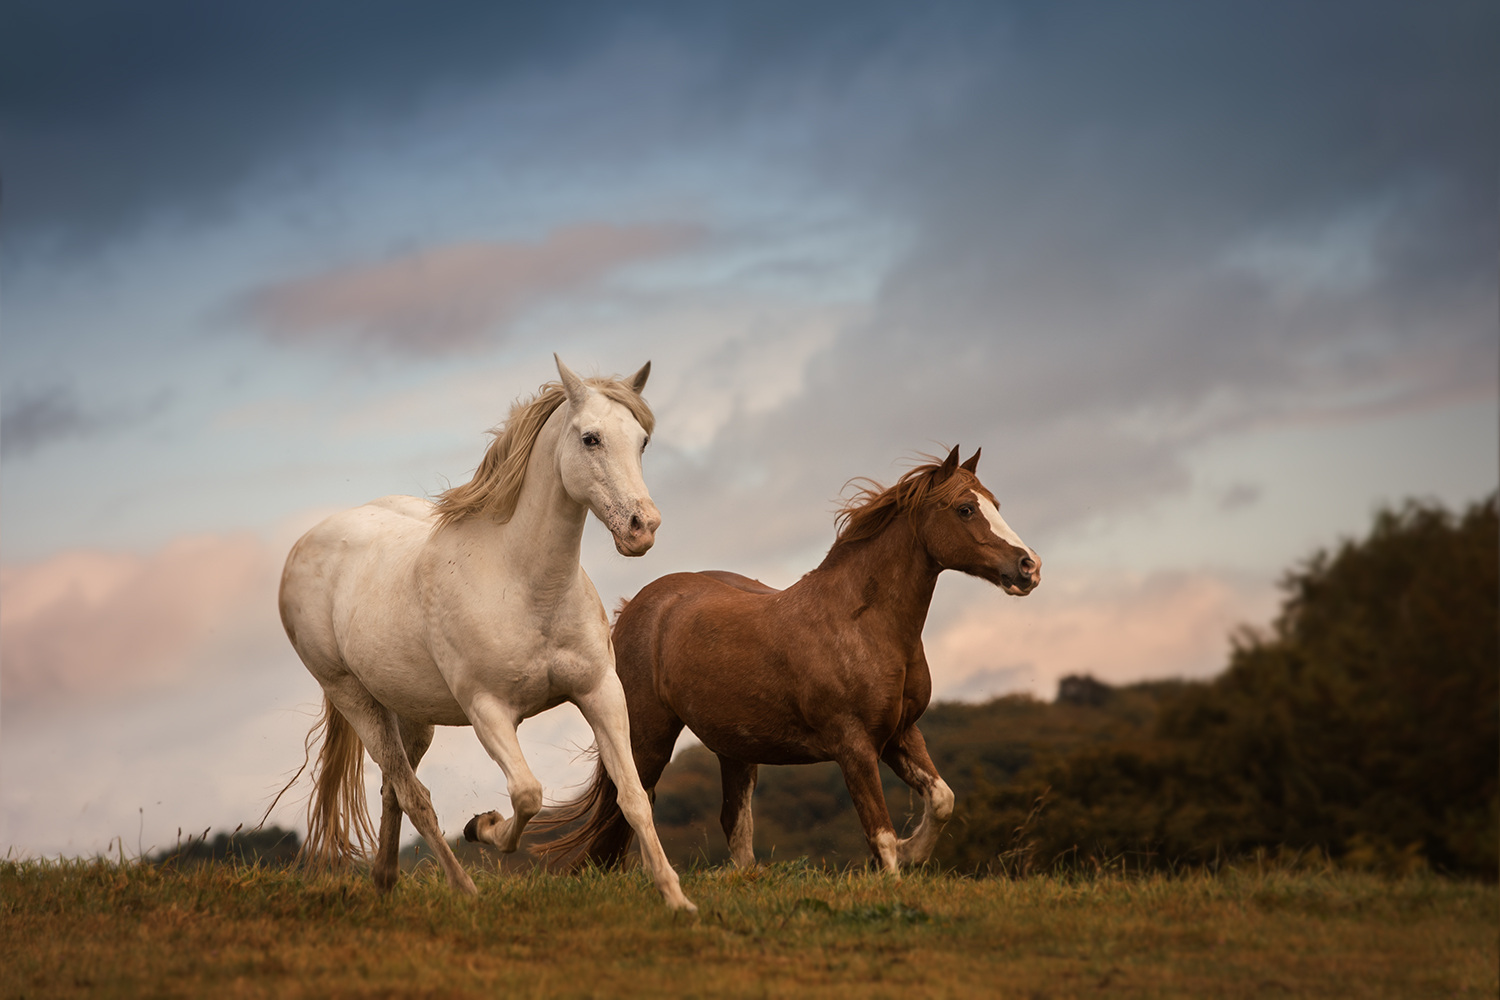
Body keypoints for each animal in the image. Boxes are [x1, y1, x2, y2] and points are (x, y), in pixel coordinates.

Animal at [277, 355, 696, 911]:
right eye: (590, 438)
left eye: (642, 440)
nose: (641, 527)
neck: (525, 585)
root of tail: (305, 544)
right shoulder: (489, 711)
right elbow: (527, 794)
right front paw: (484, 826)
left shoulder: (601, 692)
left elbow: (633, 797)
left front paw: (675, 898)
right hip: (354, 698)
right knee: (414, 795)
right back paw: (464, 889)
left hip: (412, 713)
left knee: (394, 790)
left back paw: (387, 882)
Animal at [531, 449, 1044, 869]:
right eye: (965, 509)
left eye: (994, 504)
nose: (1029, 567)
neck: (863, 624)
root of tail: (636, 607)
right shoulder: (854, 746)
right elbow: (879, 834)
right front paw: (898, 867)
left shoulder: (900, 733)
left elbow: (941, 799)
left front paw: (915, 851)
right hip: (648, 738)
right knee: (627, 804)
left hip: (735, 750)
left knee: (733, 823)